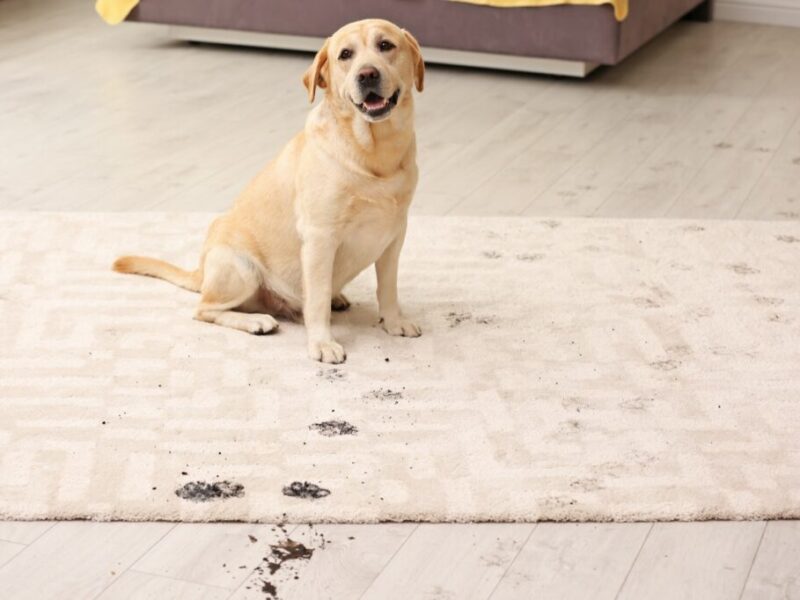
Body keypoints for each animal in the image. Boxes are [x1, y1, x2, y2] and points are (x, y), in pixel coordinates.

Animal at [114, 18, 424, 364]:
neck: (374, 154)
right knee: (204, 309)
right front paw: (321, 343)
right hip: (241, 268)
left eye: (385, 45)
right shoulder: (320, 238)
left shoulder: (394, 235)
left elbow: (389, 288)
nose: (367, 74)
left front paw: (394, 322)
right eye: (346, 54)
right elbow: (316, 301)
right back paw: (256, 321)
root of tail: (201, 271)